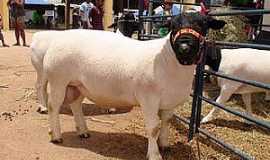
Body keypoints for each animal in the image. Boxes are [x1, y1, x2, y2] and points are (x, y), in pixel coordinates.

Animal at [40, 12, 225, 160]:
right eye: (173, 25)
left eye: (202, 24)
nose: (184, 46)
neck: (168, 59)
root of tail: (57, 38)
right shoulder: (149, 98)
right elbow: (153, 127)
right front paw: (154, 154)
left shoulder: (169, 100)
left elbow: (165, 121)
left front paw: (164, 144)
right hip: (58, 80)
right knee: (53, 106)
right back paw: (56, 135)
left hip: (77, 85)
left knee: (76, 105)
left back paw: (83, 132)